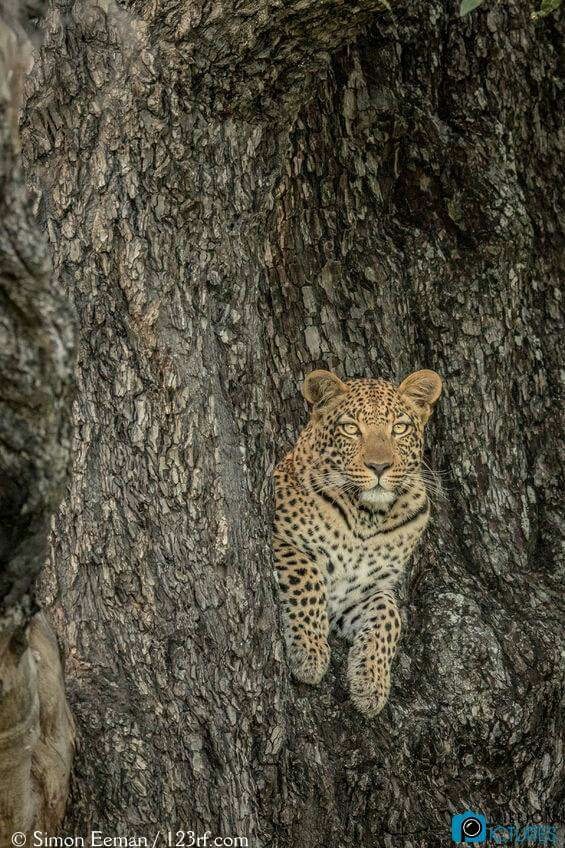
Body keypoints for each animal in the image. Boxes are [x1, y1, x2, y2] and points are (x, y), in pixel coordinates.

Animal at [273, 368, 442, 717]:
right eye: (351, 428)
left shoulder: (362, 591)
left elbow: (389, 615)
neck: (368, 518)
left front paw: (370, 684)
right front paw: (310, 654)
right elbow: (308, 577)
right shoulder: (280, 538)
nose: (379, 467)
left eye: (399, 428)